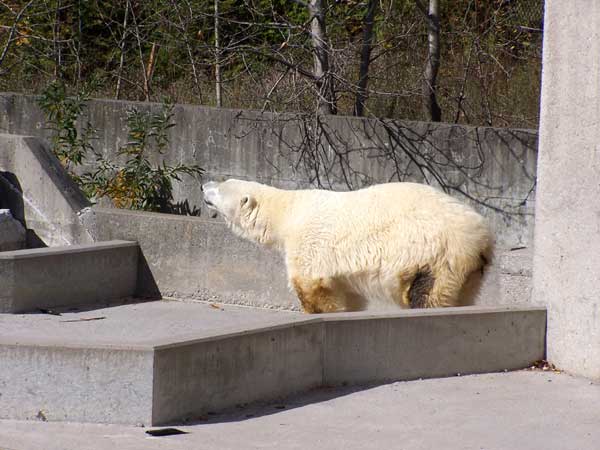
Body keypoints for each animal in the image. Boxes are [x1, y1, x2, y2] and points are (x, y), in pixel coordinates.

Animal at [202, 179, 492, 312]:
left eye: (222, 187)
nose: (204, 184)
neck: (288, 214)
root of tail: (482, 236)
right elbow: (348, 295)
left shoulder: (309, 246)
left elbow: (311, 288)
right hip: (468, 272)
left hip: (436, 254)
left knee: (428, 295)